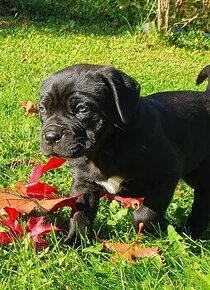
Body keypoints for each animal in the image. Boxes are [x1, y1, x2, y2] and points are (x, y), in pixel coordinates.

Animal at [39, 64, 210, 244]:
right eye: (42, 109)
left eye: (82, 109)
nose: (51, 136)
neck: (104, 149)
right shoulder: (84, 183)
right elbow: (80, 213)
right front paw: (77, 240)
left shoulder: (167, 174)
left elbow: (144, 214)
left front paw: (154, 227)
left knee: (202, 202)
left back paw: (190, 232)